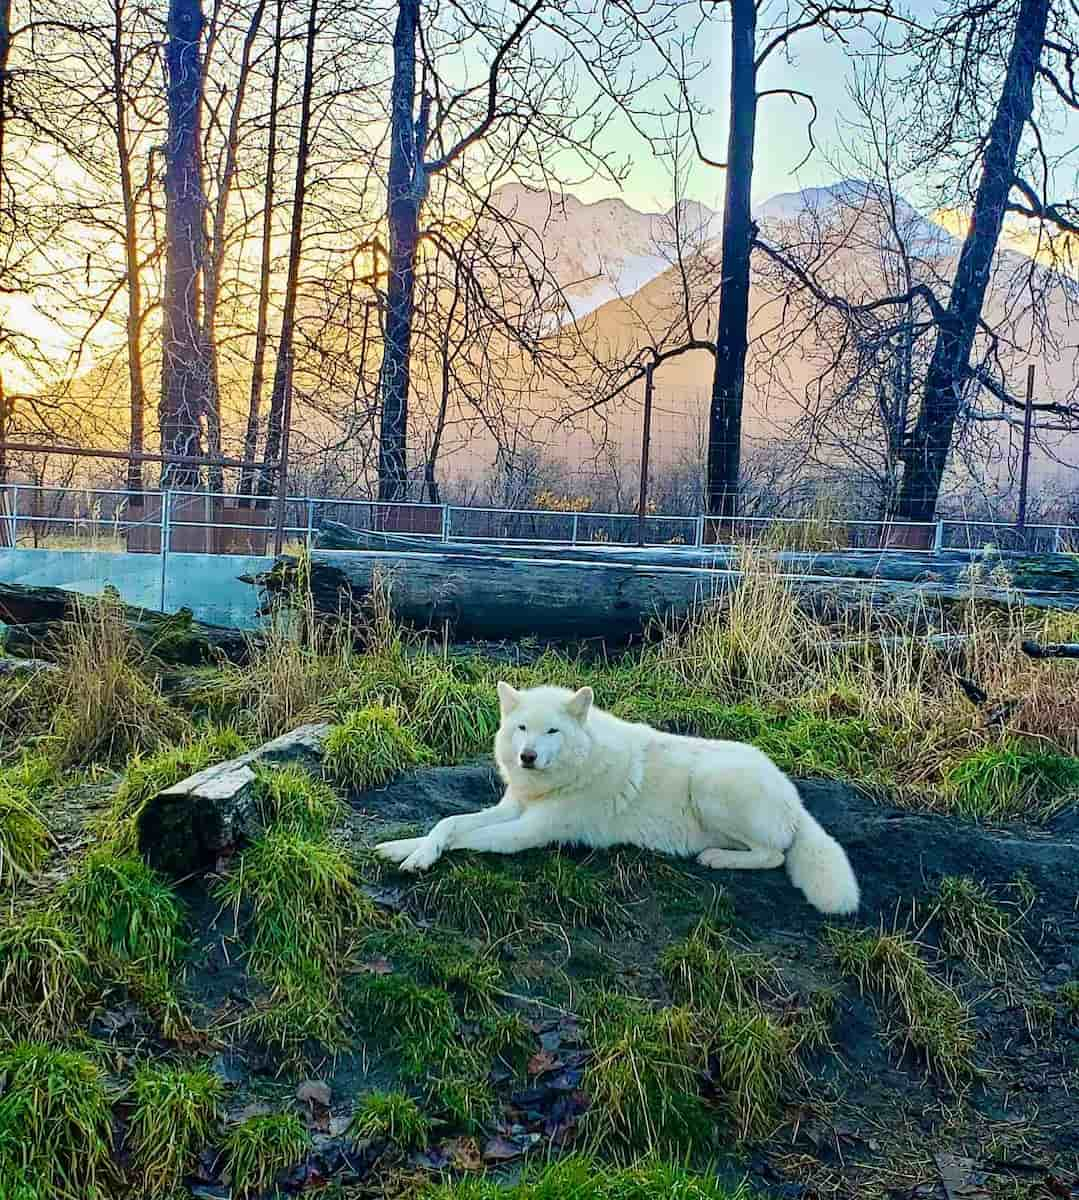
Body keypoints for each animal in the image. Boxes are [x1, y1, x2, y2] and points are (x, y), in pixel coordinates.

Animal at [374, 681, 864, 912]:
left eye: (552, 731)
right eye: (522, 728)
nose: (528, 756)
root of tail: (795, 799)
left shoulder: (527, 832)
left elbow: (461, 838)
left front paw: (418, 857)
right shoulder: (510, 808)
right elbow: (447, 823)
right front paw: (405, 849)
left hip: (711, 783)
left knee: (774, 855)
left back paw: (716, 858)